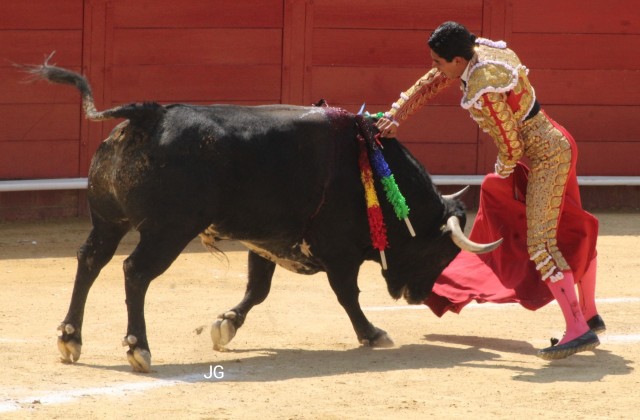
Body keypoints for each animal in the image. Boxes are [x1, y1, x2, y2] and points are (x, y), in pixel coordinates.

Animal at [25, 58, 501, 373]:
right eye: (441, 253)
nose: (419, 297)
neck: (371, 170)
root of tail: (149, 114)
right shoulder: (339, 251)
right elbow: (347, 295)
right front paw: (372, 333)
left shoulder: (267, 241)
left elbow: (257, 289)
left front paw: (225, 325)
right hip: (168, 231)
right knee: (135, 271)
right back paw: (137, 347)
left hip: (108, 221)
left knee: (90, 260)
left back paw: (70, 338)